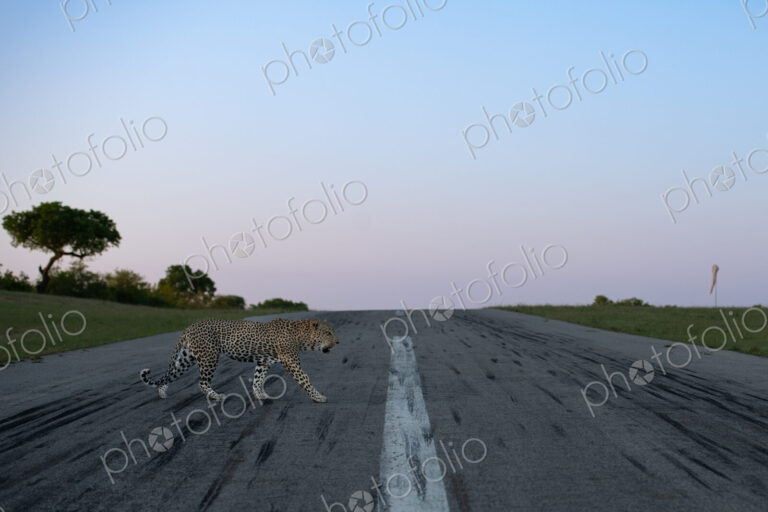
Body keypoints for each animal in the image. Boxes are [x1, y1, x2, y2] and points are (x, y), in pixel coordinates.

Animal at [139, 317, 338, 403]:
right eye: (328, 333)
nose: (338, 342)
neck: (301, 337)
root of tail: (190, 326)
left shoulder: (264, 362)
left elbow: (258, 379)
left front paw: (260, 395)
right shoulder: (291, 361)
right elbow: (305, 379)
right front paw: (318, 397)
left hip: (186, 358)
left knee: (171, 374)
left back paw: (162, 392)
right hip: (210, 356)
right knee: (202, 382)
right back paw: (216, 396)